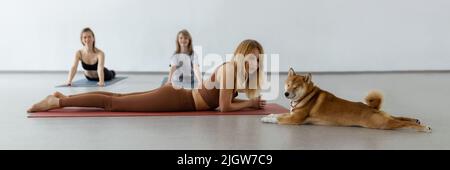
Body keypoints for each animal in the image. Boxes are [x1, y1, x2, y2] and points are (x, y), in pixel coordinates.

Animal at [262, 67, 434, 133]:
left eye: (296, 87)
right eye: (288, 84)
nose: (286, 93)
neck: (307, 96)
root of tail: (371, 109)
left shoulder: (295, 119)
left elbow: (279, 119)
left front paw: (269, 119)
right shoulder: (292, 114)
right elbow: (278, 114)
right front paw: (268, 116)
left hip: (382, 124)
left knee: (402, 123)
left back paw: (423, 127)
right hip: (384, 117)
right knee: (399, 117)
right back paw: (416, 120)